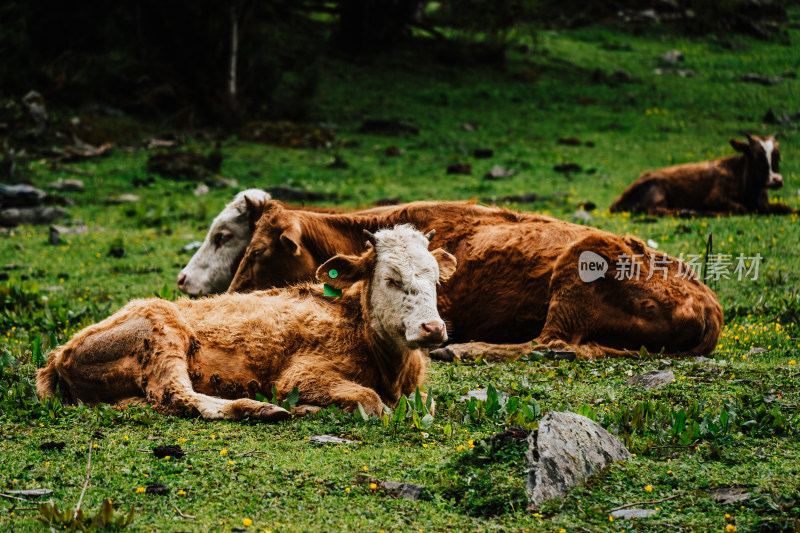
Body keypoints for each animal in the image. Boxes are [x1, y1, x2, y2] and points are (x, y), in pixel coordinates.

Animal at [36, 224, 456, 420]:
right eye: (390, 279)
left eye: (436, 278)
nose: (432, 329)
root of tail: (58, 354)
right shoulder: (301, 375)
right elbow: (371, 401)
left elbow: (426, 406)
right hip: (163, 333)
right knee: (177, 394)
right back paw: (261, 409)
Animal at [227, 201, 724, 362]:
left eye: (258, 252)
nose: (228, 297)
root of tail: (709, 302)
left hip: (578, 266)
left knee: (549, 344)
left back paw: (461, 350)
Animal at [608, 134, 792, 215]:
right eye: (756, 156)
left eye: (777, 156)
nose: (777, 180)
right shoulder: (713, 198)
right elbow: (741, 208)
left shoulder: (765, 204)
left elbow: (788, 208)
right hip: (657, 191)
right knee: (658, 210)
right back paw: (690, 212)